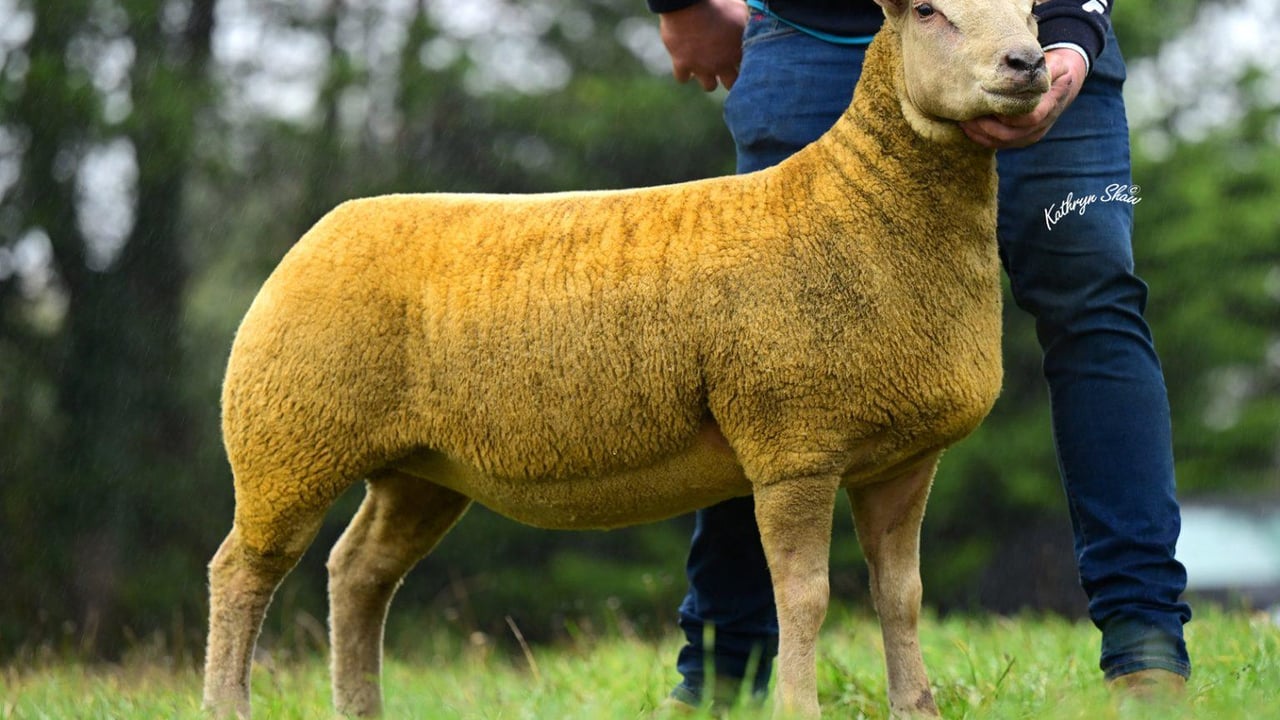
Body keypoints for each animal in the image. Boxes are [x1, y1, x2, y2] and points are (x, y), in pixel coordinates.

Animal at [201, 0, 1049, 717]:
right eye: (928, 12)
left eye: (1036, 11)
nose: (1029, 63)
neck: (861, 205)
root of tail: (326, 228)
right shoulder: (794, 447)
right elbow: (804, 598)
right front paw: (800, 708)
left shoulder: (903, 455)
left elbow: (901, 594)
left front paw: (918, 708)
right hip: (289, 438)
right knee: (242, 572)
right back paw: (226, 703)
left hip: (418, 467)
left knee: (359, 572)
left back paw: (359, 706)